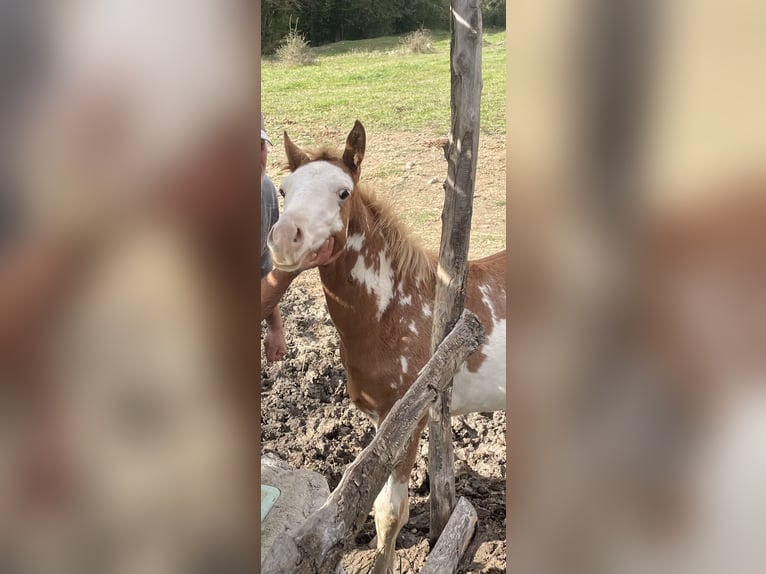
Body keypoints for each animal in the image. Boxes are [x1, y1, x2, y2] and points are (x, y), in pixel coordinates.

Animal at [267, 120, 507, 571]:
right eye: (284, 190)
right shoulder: (382, 420)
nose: (285, 239)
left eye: (343, 192)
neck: (391, 308)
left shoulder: (411, 415)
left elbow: (391, 513)